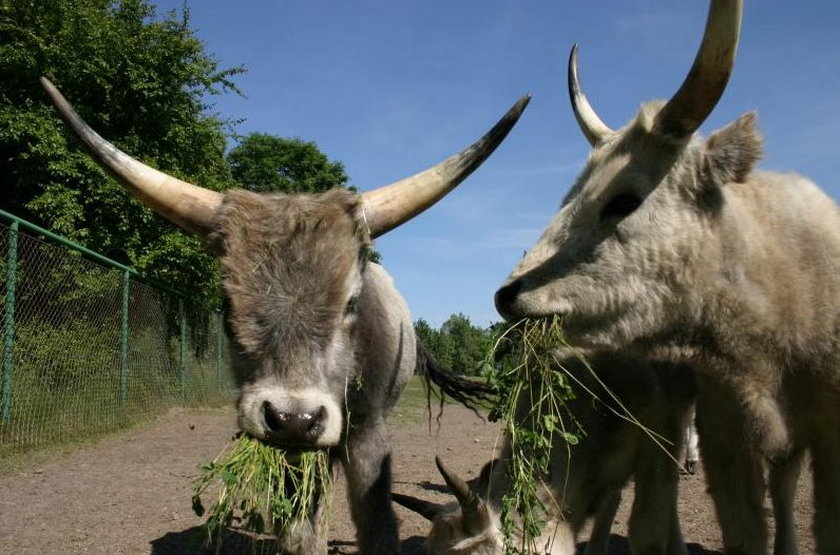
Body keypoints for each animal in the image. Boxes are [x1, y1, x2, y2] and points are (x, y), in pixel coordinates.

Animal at [42, 79, 528, 555]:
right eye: (226, 301)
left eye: (351, 302)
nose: (295, 417)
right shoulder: (288, 447)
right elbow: (298, 528)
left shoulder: (368, 432)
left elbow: (376, 525)